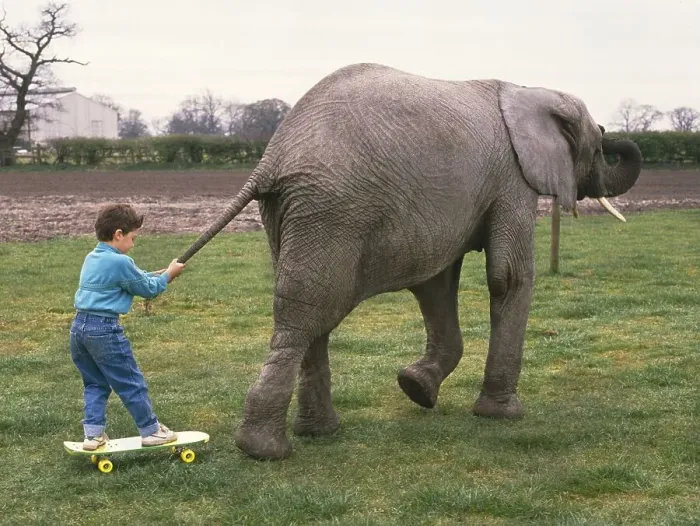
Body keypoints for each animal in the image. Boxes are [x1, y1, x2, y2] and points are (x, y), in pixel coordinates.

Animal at [178, 63, 643, 460]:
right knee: (307, 312)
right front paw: (501, 415)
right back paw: (265, 450)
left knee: (309, 312)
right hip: (332, 212)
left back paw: (316, 433)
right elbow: (507, 277)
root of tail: (270, 159)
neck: (526, 90)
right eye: (597, 148)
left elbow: (436, 283)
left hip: (290, 214)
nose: (612, 131)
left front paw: (416, 388)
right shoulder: (513, 178)